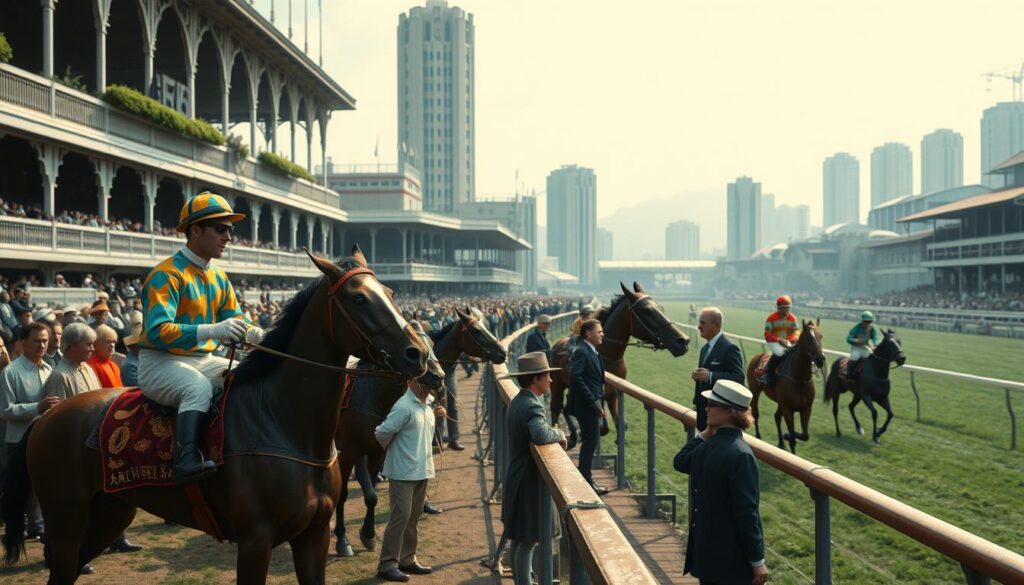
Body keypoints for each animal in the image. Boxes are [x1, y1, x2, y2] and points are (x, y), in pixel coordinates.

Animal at [1, 247, 432, 585]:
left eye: (390, 292)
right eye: (358, 299)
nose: (418, 354)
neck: (282, 423)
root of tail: (48, 414)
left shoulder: (312, 537)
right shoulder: (255, 540)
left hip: (110, 513)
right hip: (66, 518)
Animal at [333, 307, 505, 557]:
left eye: (430, 343)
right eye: (477, 331)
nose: (502, 352)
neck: (371, 395)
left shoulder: (378, 447)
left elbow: (374, 495)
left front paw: (369, 533)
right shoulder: (347, 449)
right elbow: (343, 493)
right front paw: (342, 539)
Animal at [552, 282, 688, 444]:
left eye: (661, 307)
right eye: (646, 310)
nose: (683, 341)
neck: (608, 356)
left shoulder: (613, 394)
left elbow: (620, 424)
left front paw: (618, 438)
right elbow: (602, 425)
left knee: (565, 407)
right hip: (557, 384)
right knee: (557, 407)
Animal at [749, 319, 827, 452]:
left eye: (820, 335)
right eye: (808, 337)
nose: (820, 359)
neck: (800, 380)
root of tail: (756, 357)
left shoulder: (806, 408)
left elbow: (804, 435)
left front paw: (786, 436)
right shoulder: (788, 409)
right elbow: (793, 439)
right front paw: (788, 436)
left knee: (776, 417)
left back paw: (781, 442)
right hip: (755, 391)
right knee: (755, 413)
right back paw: (758, 435)